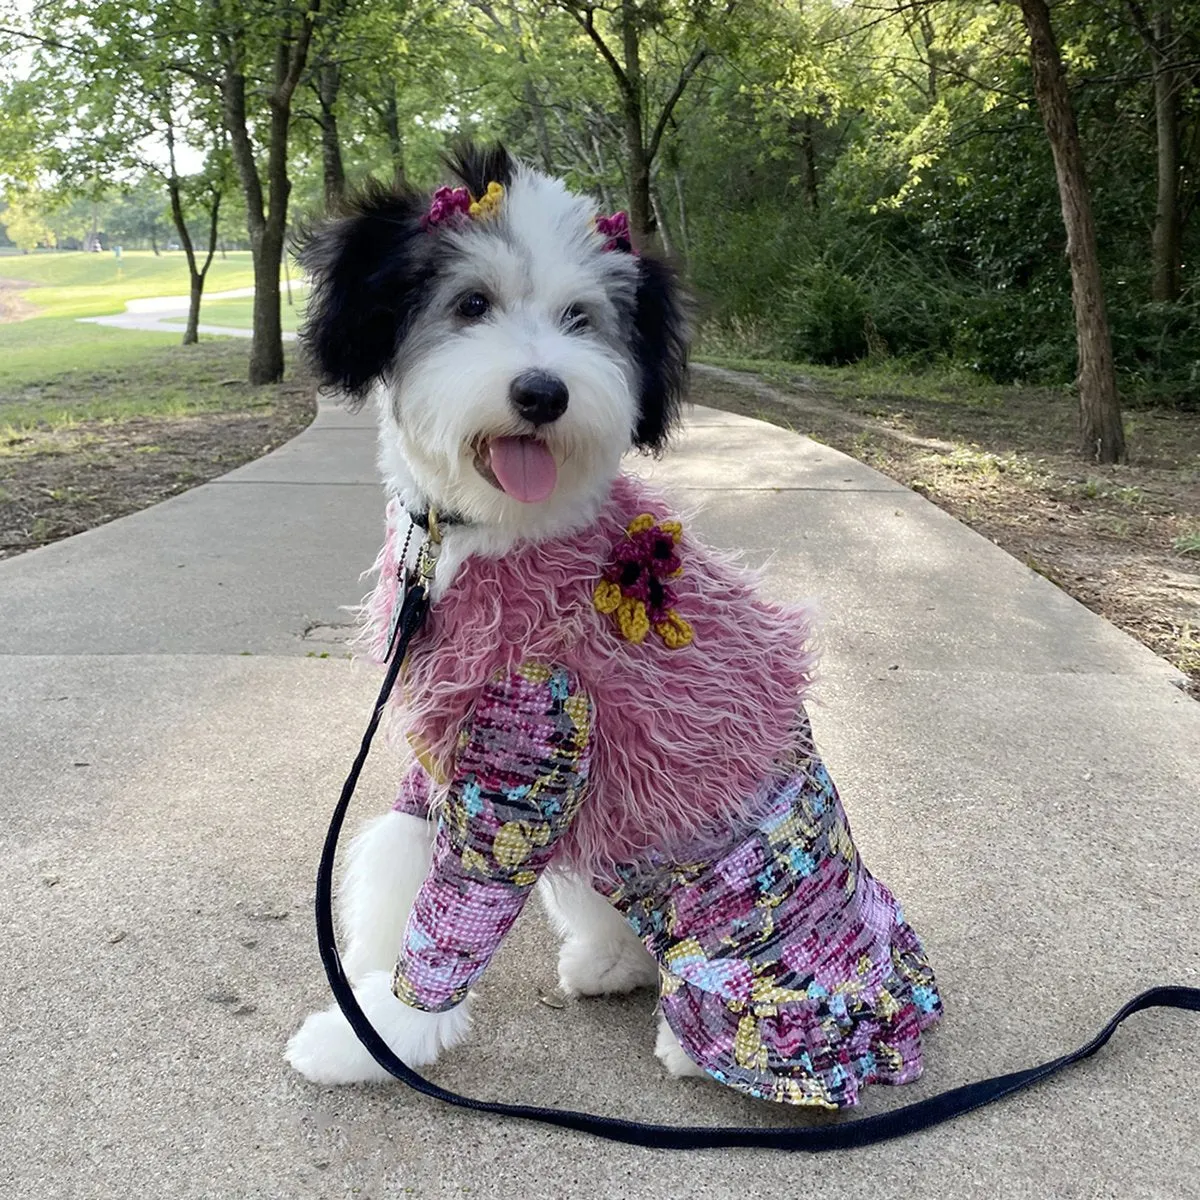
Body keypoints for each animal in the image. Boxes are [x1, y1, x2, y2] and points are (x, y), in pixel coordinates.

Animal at [285, 140, 940, 1104]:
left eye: (580, 318)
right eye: (470, 304)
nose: (542, 391)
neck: (491, 536)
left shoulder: (528, 758)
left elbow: (454, 916)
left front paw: (376, 1036)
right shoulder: (451, 740)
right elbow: (404, 860)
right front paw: (363, 990)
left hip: (732, 909)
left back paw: (691, 1041)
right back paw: (609, 960)